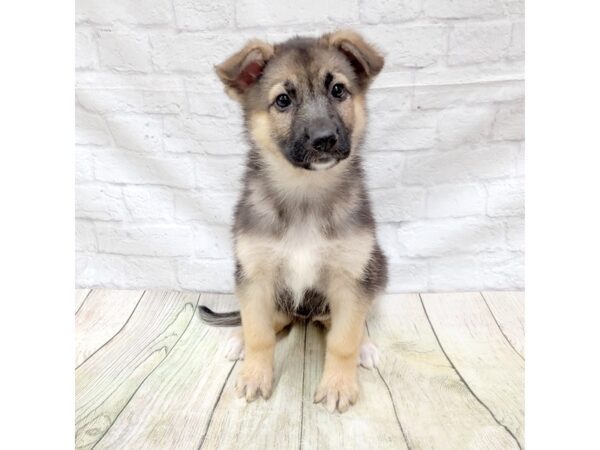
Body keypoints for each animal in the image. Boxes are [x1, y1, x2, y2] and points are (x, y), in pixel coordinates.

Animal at [200, 29, 390, 414]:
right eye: (283, 100)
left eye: (338, 90)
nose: (324, 139)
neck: (305, 192)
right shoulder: (255, 277)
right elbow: (260, 334)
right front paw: (254, 376)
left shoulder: (350, 279)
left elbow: (343, 340)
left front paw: (338, 385)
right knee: (268, 320)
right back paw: (239, 338)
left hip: (377, 268)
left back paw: (365, 346)